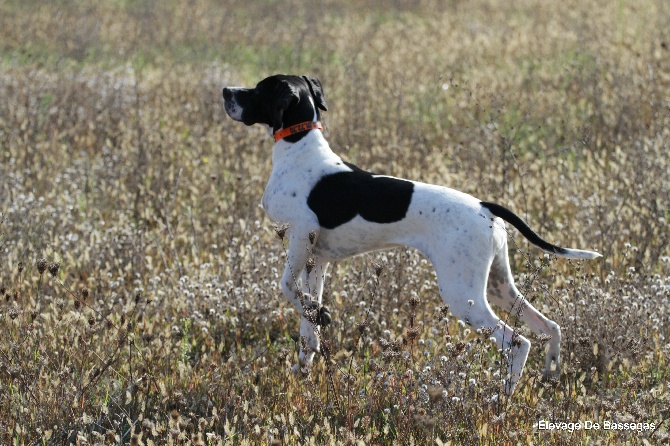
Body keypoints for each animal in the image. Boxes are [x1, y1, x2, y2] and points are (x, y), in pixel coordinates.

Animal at [222, 75, 604, 396]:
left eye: (259, 88)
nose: (226, 91)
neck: (300, 147)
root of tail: (484, 206)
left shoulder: (302, 235)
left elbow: (287, 288)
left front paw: (319, 321)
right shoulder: (318, 260)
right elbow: (308, 319)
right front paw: (306, 360)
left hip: (463, 295)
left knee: (518, 342)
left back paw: (501, 400)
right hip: (498, 287)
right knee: (550, 326)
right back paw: (550, 372)